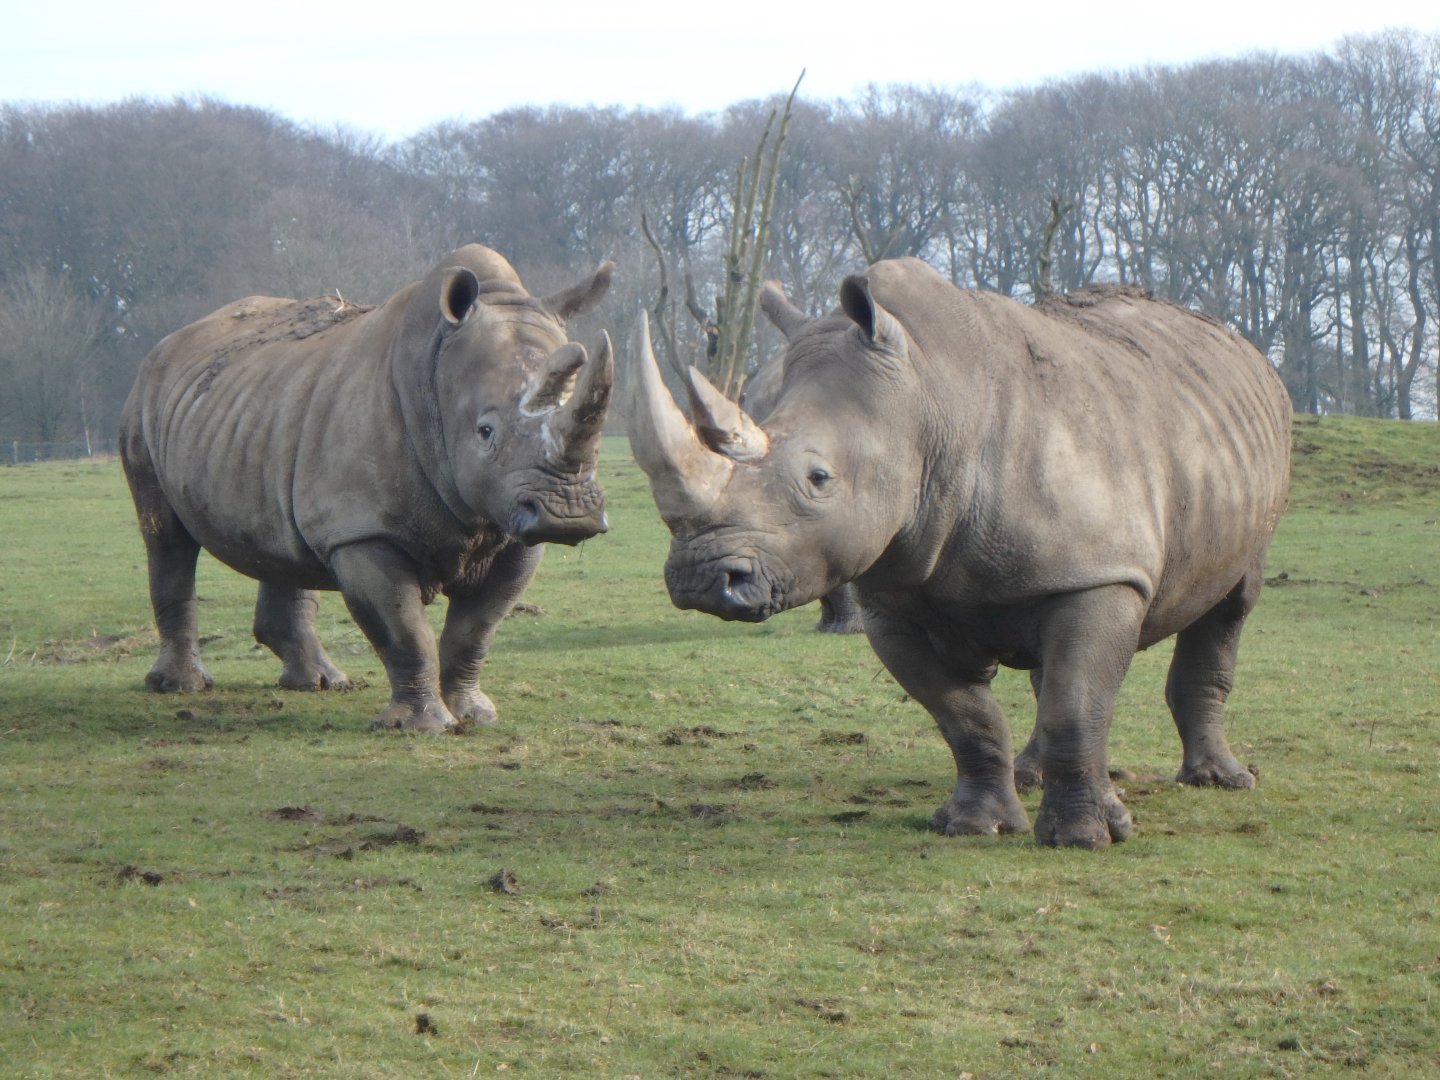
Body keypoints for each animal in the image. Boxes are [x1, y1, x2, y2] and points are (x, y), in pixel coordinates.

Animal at [120, 244, 613, 733]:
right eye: (485, 432)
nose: (569, 513)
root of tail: (168, 343)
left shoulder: (512, 524)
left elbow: (476, 629)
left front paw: (474, 715)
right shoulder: (362, 530)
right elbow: (404, 629)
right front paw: (418, 727)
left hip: (263, 407)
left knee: (278, 536)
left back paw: (319, 683)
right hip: (145, 399)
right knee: (166, 536)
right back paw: (181, 687)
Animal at [627, 257, 1291, 848]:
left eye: (818, 478)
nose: (699, 580)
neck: (929, 400)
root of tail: (1240, 344)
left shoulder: (1101, 574)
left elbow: (1077, 705)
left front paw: (1085, 838)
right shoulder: (894, 597)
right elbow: (964, 716)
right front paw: (976, 826)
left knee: (1231, 604)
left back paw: (1222, 782)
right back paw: (1033, 776)